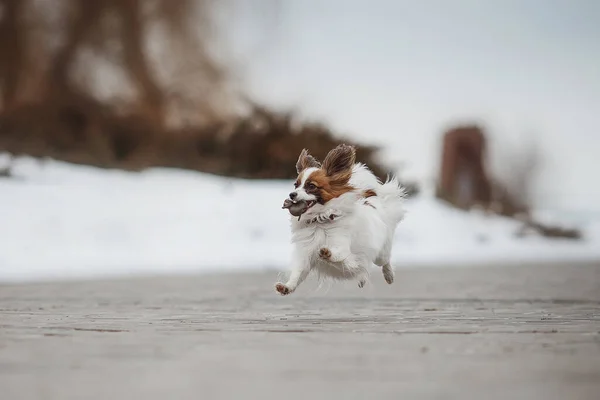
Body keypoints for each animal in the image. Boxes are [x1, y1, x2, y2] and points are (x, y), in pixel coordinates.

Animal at [278, 145, 408, 296]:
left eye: (311, 186)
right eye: (296, 185)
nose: (291, 194)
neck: (319, 221)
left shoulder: (342, 247)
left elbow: (339, 256)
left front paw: (327, 253)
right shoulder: (305, 255)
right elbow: (297, 274)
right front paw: (286, 287)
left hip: (381, 254)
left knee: (385, 262)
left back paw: (389, 275)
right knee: (363, 269)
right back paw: (362, 279)